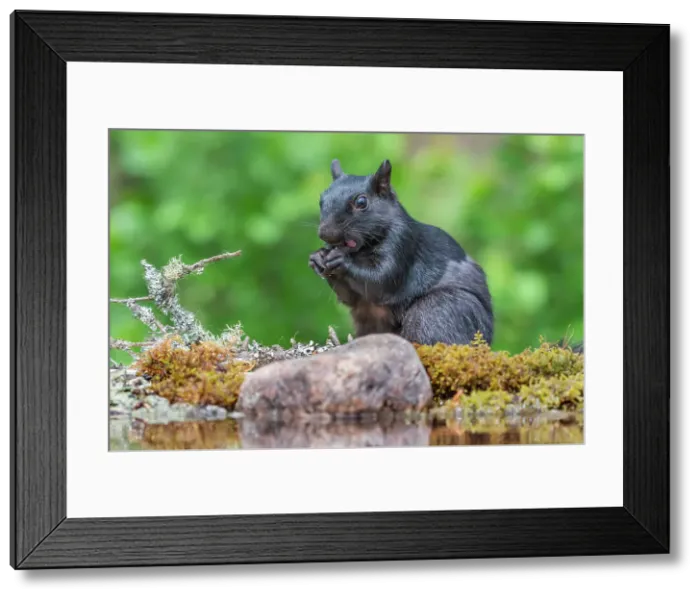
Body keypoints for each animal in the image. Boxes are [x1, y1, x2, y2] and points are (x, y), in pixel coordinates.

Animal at [308, 158, 494, 346]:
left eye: (361, 202)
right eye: (321, 200)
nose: (326, 234)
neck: (361, 250)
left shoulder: (402, 242)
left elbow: (381, 279)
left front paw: (342, 261)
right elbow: (350, 297)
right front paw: (317, 258)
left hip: (441, 310)